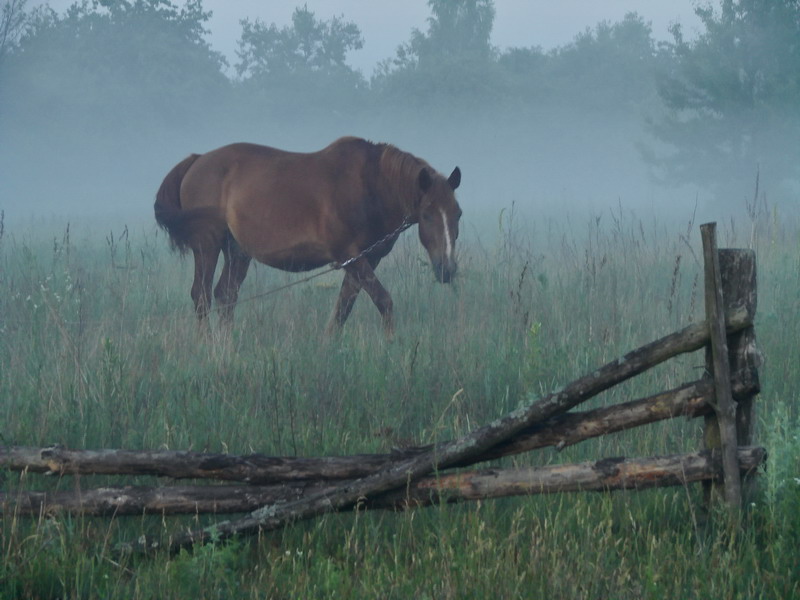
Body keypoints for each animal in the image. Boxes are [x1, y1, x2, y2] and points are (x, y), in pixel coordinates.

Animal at [153, 136, 462, 336]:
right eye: (427, 215)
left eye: (457, 214)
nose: (446, 270)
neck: (369, 186)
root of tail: (196, 161)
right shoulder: (350, 257)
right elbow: (384, 302)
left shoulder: (365, 260)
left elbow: (342, 310)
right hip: (207, 244)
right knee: (202, 295)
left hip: (237, 250)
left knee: (225, 294)